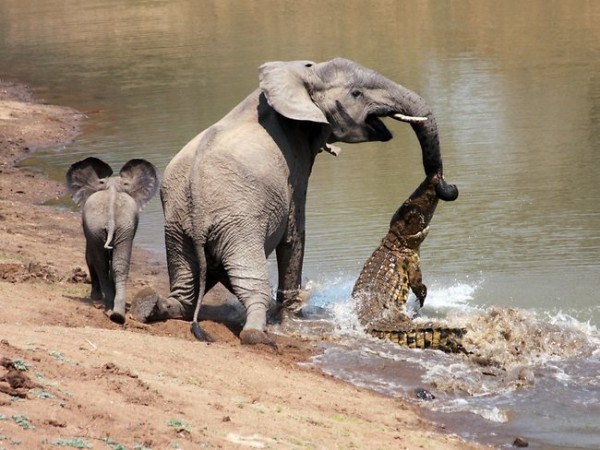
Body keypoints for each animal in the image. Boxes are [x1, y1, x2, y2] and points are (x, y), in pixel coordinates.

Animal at [66, 157, 159, 324]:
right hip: (124, 226)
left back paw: (107, 305)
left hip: (98, 226)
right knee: (119, 265)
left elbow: (89, 256)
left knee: (101, 264)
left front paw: (95, 298)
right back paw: (117, 314)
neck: (112, 185)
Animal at [131, 56, 458, 344]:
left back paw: (148, 306)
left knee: (185, 290)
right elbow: (295, 232)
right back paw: (257, 335)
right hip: (237, 226)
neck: (301, 76)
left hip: (177, 228)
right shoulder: (294, 164)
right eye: (356, 93)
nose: (447, 186)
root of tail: (197, 207)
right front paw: (293, 318)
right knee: (251, 284)